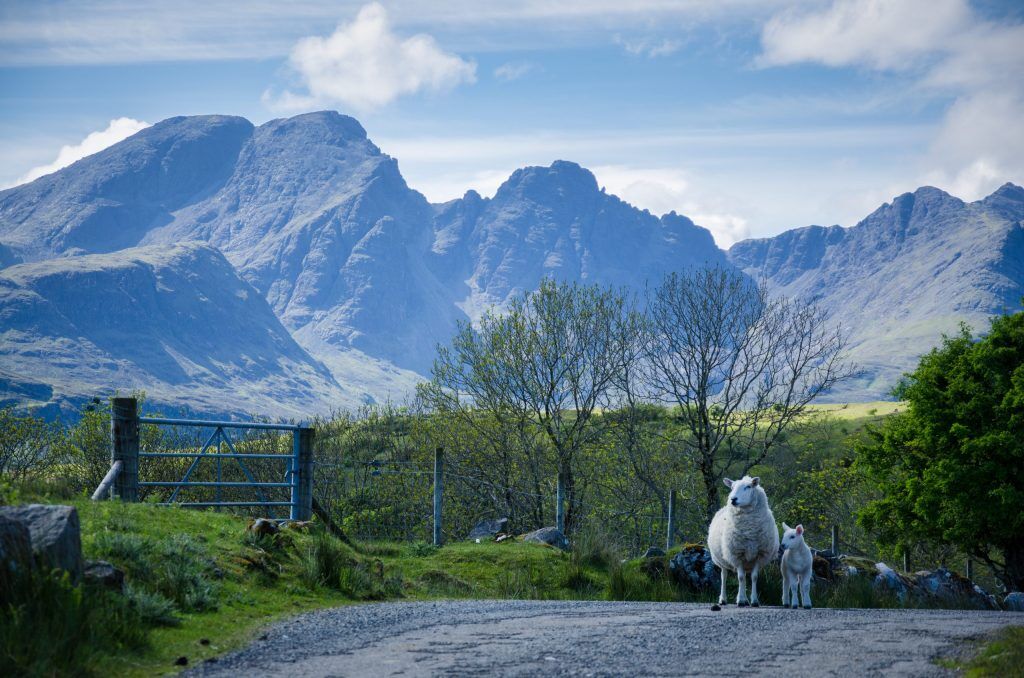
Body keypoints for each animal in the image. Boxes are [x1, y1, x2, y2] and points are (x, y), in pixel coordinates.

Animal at [707, 475, 780, 607]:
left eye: (748, 486)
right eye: (732, 487)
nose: (733, 499)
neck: (749, 529)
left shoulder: (759, 554)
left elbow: (754, 577)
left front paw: (754, 601)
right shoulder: (737, 554)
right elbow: (740, 577)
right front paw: (740, 600)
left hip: (746, 560)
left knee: (745, 576)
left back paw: (746, 600)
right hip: (722, 559)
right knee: (724, 576)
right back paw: (723, 599)